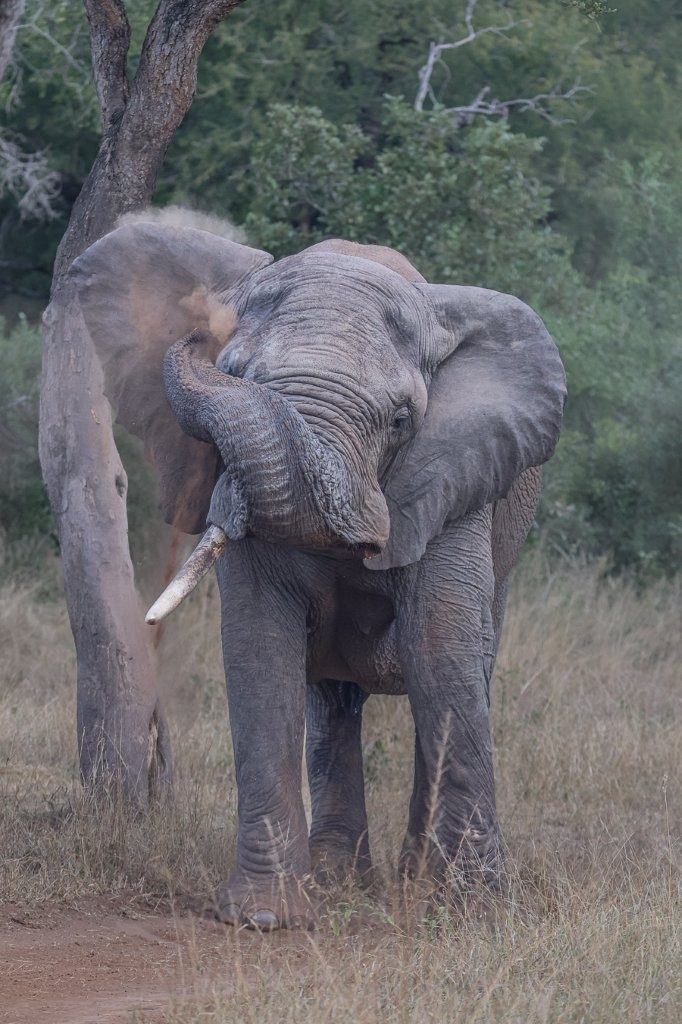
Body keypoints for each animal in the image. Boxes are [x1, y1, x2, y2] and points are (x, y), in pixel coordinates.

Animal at [70, 220, 566, 931]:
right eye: (235, 374)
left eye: (402, 420)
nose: (198, 332)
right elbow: (260, 649)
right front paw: (262, 919)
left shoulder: (453, 478)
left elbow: (441, 650)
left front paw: (471, 913)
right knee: (333, 698)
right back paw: (340, 882)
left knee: (456, 668)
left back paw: (410, 881)